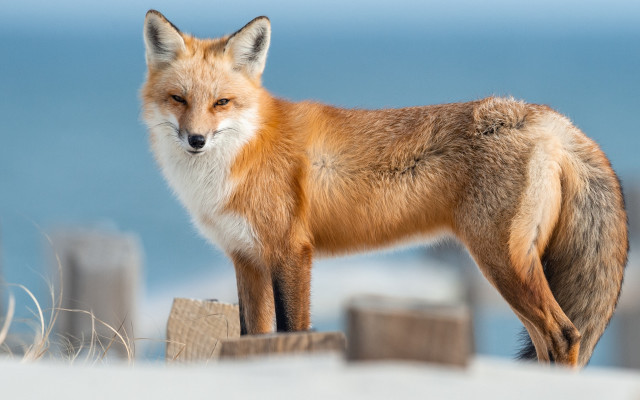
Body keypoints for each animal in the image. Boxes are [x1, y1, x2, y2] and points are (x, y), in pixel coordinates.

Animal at [141, 10, 628, 367]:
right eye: (178, 99)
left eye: (221, 102)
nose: (196, 140)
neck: (245, 151)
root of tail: (547, 118)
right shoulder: (247, 260)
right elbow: (250, 338)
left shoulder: (290, 253)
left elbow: (291, 331)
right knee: (552, 341)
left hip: (503, 262)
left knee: (564, 336)